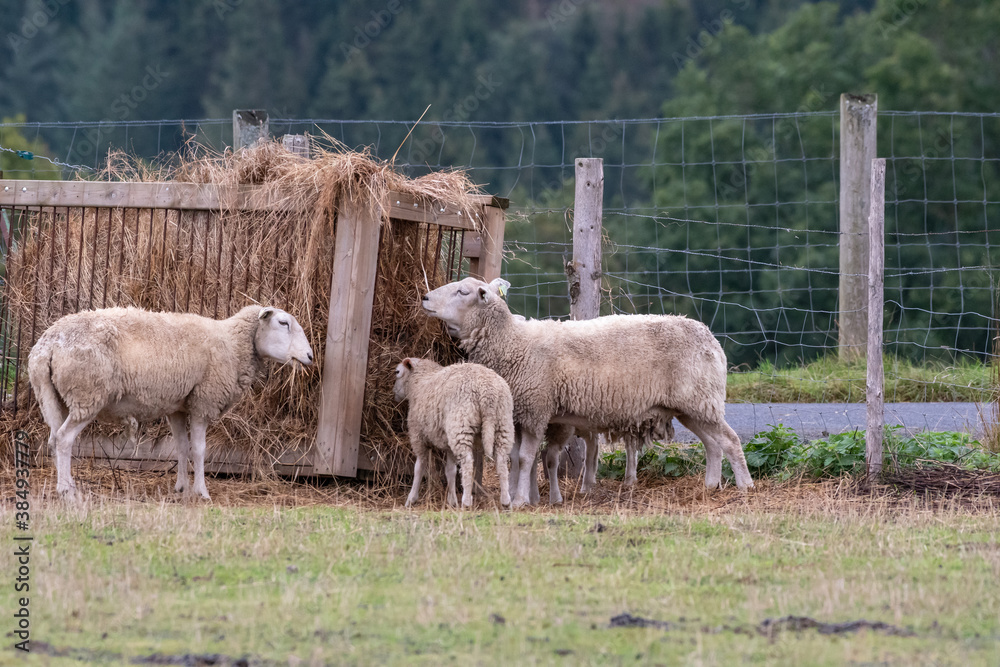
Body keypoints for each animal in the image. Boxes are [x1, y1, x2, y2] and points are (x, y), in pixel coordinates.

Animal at [27, 305, 314, 500]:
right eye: (283, 323)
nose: (310, 356)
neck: (232, 344)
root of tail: (47, 344)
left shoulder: (177, 407)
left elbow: (182, 448)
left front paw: (182, 488)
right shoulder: (203, 402)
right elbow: (199, 450)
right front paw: (201, 491)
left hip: (52, 397)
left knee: (53, 438)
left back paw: (65, 484)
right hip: (87, 394)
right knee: (64, 439)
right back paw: (66, 490)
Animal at [393, 357, 514, 508]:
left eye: (397, 372)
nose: (393, 392)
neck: (418, 382)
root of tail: (487, 392)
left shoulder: (418, 436)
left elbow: (419, 467)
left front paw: (411, 499)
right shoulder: (448, 443)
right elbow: (450, 470)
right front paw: (452, 501)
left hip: (461, 426)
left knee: (468, 463)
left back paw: (467, 501)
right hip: (503, 424)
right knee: (502, 463)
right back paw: (506, 501)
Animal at [421, 276, 754, 508]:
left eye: (463, 292)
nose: (424, 297)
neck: (513, 343)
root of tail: (712, 339)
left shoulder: (536, 408)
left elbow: (526, 458)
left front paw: (519, 501)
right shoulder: (517, 413)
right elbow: (514, 458)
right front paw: (517, 495)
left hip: (702, 400)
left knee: (731, 441)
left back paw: (745, 486)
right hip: (692, 406)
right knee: (713, 444)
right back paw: (710, 487)